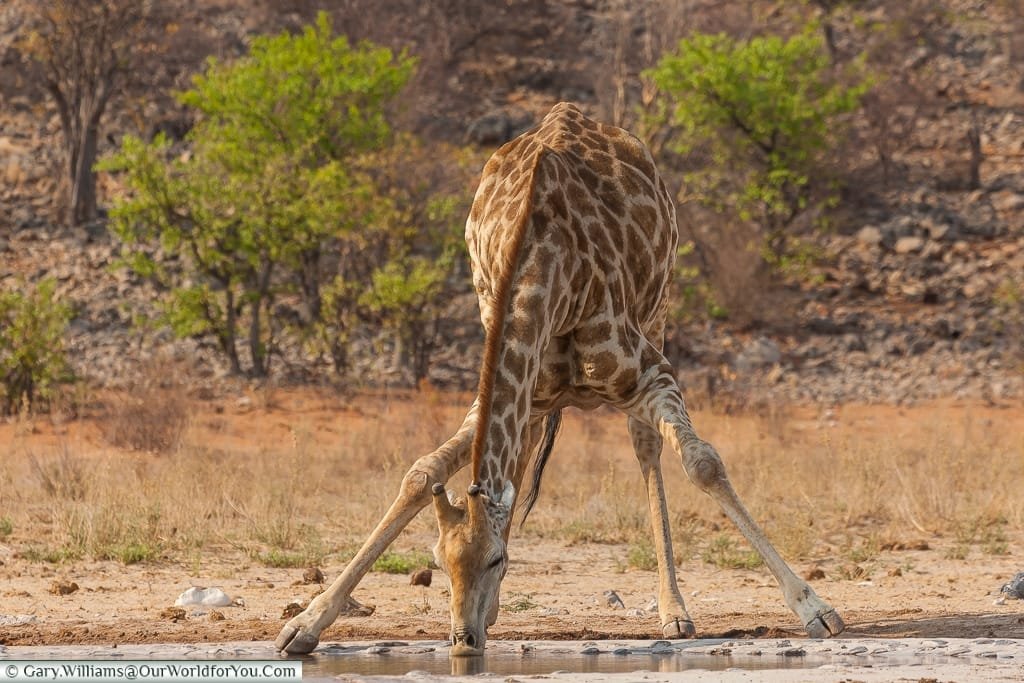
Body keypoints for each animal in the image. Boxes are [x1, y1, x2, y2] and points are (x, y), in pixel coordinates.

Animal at [276, 101, 843, 655]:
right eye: (438, 563)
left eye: (496, 560)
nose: (463, 641)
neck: (546, 270)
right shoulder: (512, 388)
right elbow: (421, 473)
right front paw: (305, 623)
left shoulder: (652, 372)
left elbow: (703, 463)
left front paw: (815, 609)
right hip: (538, 390)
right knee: (521, 455)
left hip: (658, 309)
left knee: (645, 447)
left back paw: (674, 610)